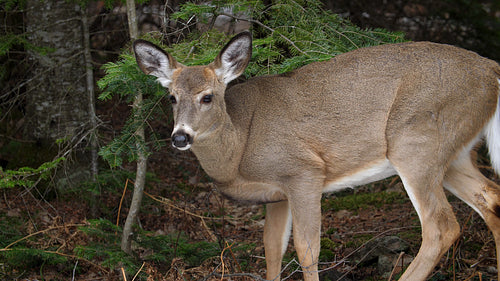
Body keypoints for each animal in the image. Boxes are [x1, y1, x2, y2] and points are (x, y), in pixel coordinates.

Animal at [134, 30, 500, 280]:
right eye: (171, 97)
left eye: (207, 97)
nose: (180, 137)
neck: (240, 146)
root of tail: (491, 70)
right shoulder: (277, 195)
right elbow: (272, 249)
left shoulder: (303, 172)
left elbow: (307, 249)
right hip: (453, 154)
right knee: (490, 198)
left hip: (416, 142)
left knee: (441, 226)